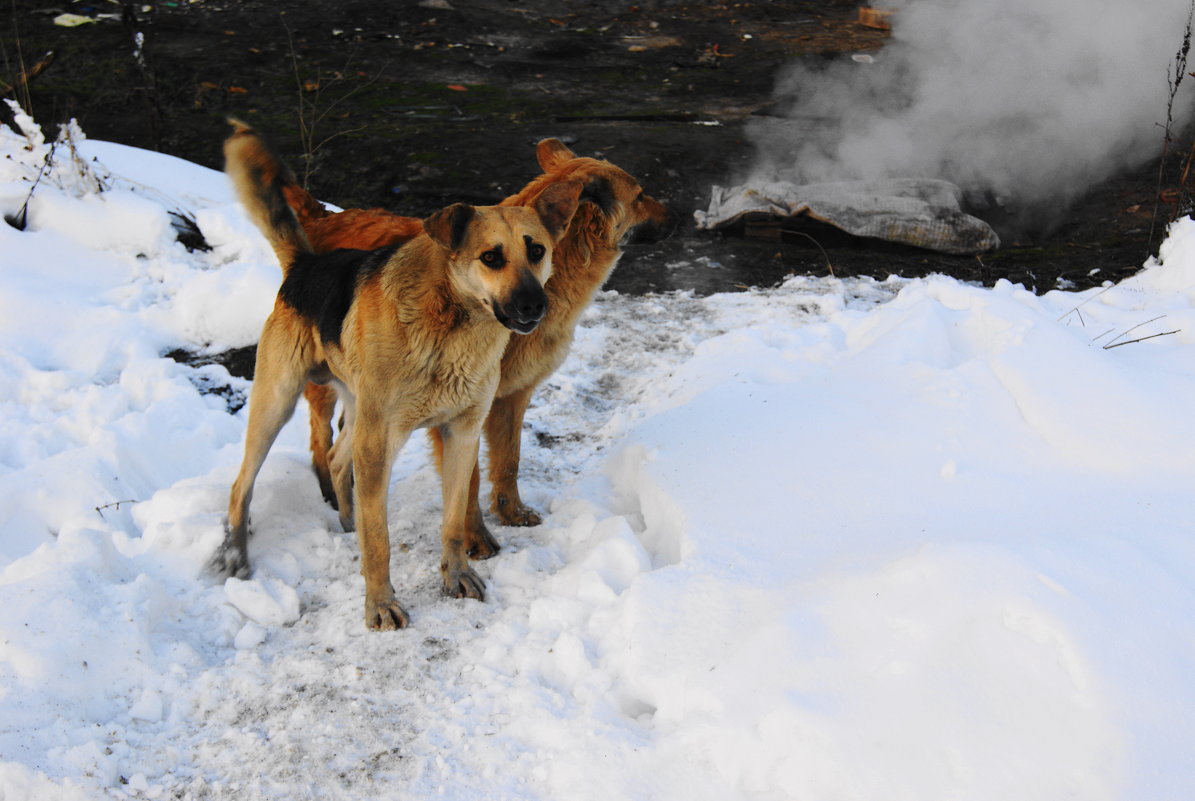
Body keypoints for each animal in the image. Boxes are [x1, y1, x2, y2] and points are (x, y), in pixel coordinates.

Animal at [223, 122, 583, 631]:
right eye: (491, 257)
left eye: (537, 251)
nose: (535, 306)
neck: (450, 326)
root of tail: (304, 265)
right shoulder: (380, 447)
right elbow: (380, 540)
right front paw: (380, 604)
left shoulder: (461, 433)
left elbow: (453, 521)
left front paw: (457, 576)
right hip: (281, 403)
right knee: (243, 484)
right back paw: (235, 557)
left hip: (359, 411)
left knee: (336, 461)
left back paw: (346, 524)